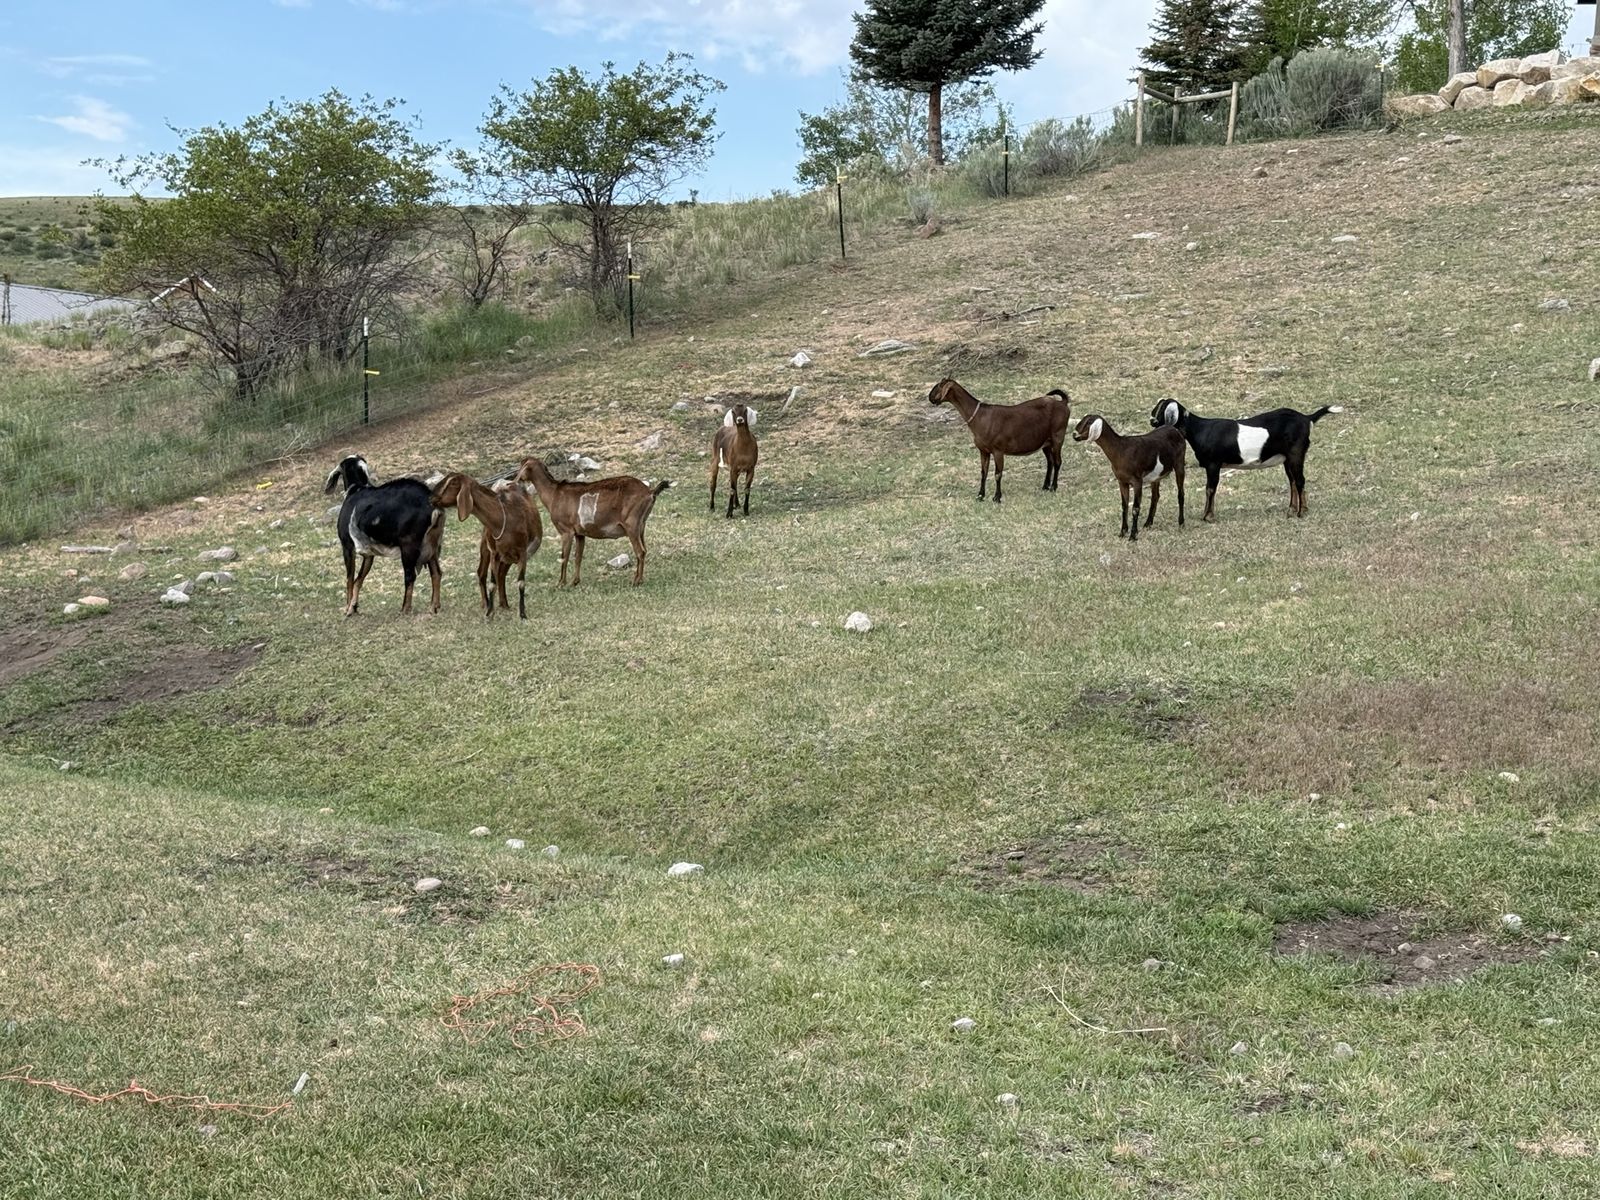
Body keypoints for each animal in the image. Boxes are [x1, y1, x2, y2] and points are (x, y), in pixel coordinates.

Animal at [323, 455, 443, 616]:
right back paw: (433, 607)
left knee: (410, 576)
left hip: (409, 545)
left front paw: (348, 609)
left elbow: (349, 579)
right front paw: (354, 607)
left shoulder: (347, 546)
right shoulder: (369, 554)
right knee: (436, 573)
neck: (356, 490)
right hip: (431, 545)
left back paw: (405, 609)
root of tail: (431, 505)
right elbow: (359, 579)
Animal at [431, 473, 543, 620]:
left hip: (509, 556)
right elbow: (492, 584)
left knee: (501, 574)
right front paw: (489, 612)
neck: (503, 519)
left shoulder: (522, 552)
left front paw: (523, 614)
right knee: (484, 573)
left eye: (453, 483)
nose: (431, 497)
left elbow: (521, 583)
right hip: (487, 548)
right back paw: (489, 603)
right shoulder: (494, 552)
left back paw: (504, 604)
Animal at [515, 457, 671, 587]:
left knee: (640, 551)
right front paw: (574, 582)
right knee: (644, 550)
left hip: (631, 526)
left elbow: (564, 557)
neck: (554, 494)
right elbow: (578, 557)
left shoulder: (566, 531)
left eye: (522, 465)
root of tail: (650, 492)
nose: (517, 480)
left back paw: (636, 581)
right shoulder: (580, 534)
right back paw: (640, 579)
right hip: (641, 526)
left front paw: (560, 583)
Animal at [928, 378, 1071, 502]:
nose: (930, 397)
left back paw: (1053, 487)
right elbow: (983, 473)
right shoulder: (983, 451)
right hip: (1045, 442)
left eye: (939, 385)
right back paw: (1045, 486)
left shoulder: (998, 450)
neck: (980, 417)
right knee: (1050, 461)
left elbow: (998, 474)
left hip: (1058, 436)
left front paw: (997, 498)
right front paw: (980, 496)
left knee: (1057, 462)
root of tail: (1063, 403)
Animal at [1150, 398, 1342, 520]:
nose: (1152, 421)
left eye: (1161, 410)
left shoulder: (1213, 464)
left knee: (1300, 480)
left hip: (1296, 453)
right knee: (1293, 481)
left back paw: (1301, 513)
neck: (1200, 429)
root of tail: (1307, 418)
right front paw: (1207, 514)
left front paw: (1207, 516)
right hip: (1287, 458)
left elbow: (1210, 489)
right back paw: (1291, 511)